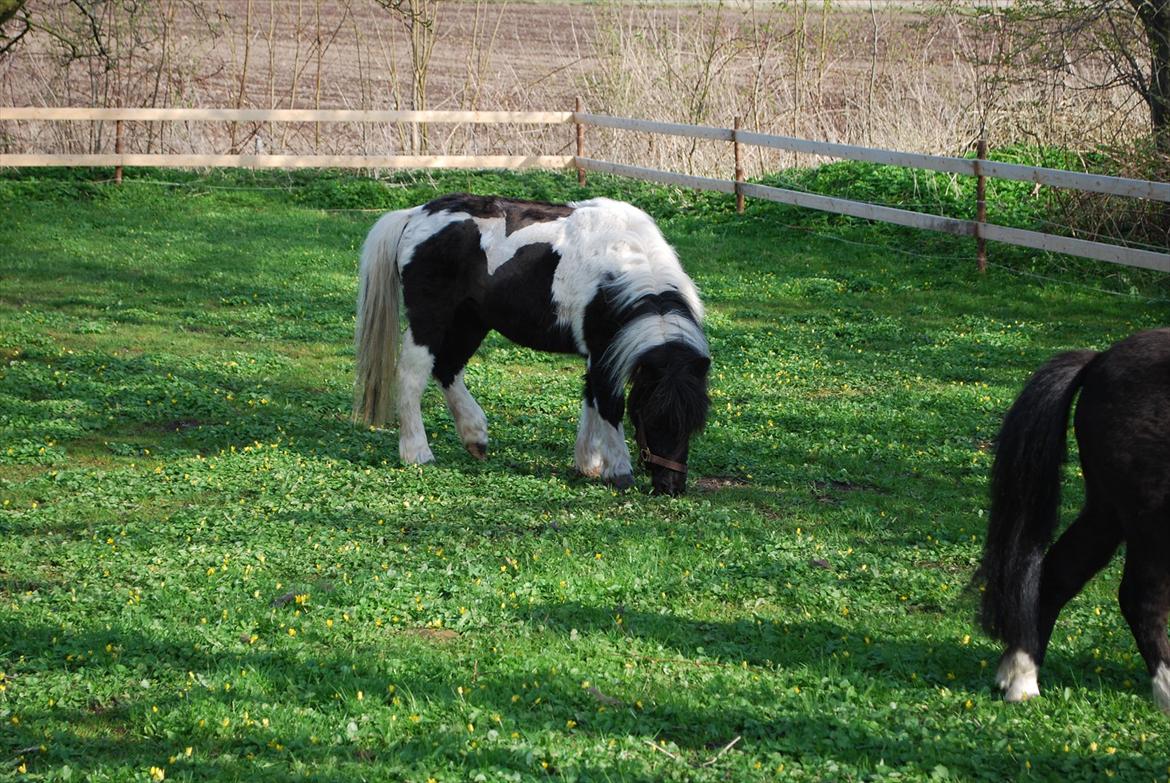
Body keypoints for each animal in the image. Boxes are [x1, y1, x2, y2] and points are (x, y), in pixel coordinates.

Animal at [351, 191, 706, 491]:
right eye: (648, 417)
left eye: (693, 423)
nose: (670, 487)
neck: (624, 265)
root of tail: (416, 215)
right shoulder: (605, 353)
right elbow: (608, 404)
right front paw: (618, 470)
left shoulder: (598, 353)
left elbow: (590, 398)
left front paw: (587, 462)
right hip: (429, 320)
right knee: (412, 376)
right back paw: (417, 452)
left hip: (470, 322)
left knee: (448, 369)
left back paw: (475, 436)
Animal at [978, 327, 1170, 711]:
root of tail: (1100, 360)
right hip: (1152, 515)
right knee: (1140, 599)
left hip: (1107, 510)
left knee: (1058, 573)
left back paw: (1021, 677)